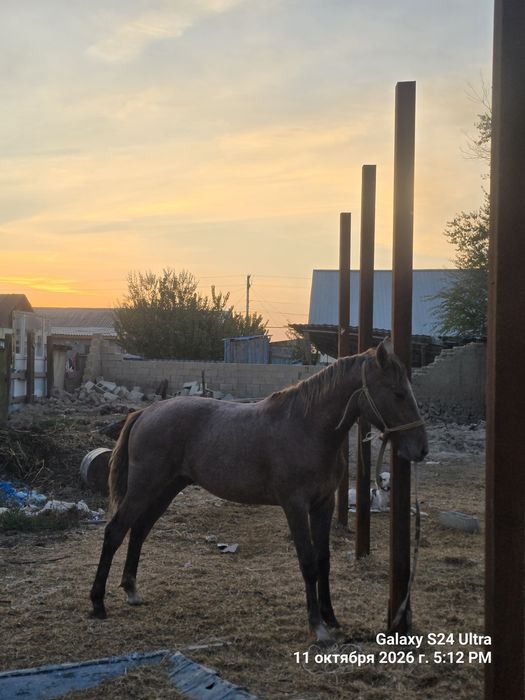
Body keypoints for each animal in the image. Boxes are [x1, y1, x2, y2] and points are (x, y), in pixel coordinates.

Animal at [90, 338, 428, 642]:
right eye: (398, 393)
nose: (421, 449)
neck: (307, 428)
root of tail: (145, 413)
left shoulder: (324, 504)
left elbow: (324, 560)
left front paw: (330, 617)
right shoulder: (295, 506)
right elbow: (307, 561)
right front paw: (317, 627)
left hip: (166, 488)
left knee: (139, 530)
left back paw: (131, 590)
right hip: (145, 486)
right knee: (116, 530)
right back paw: (98, 603)